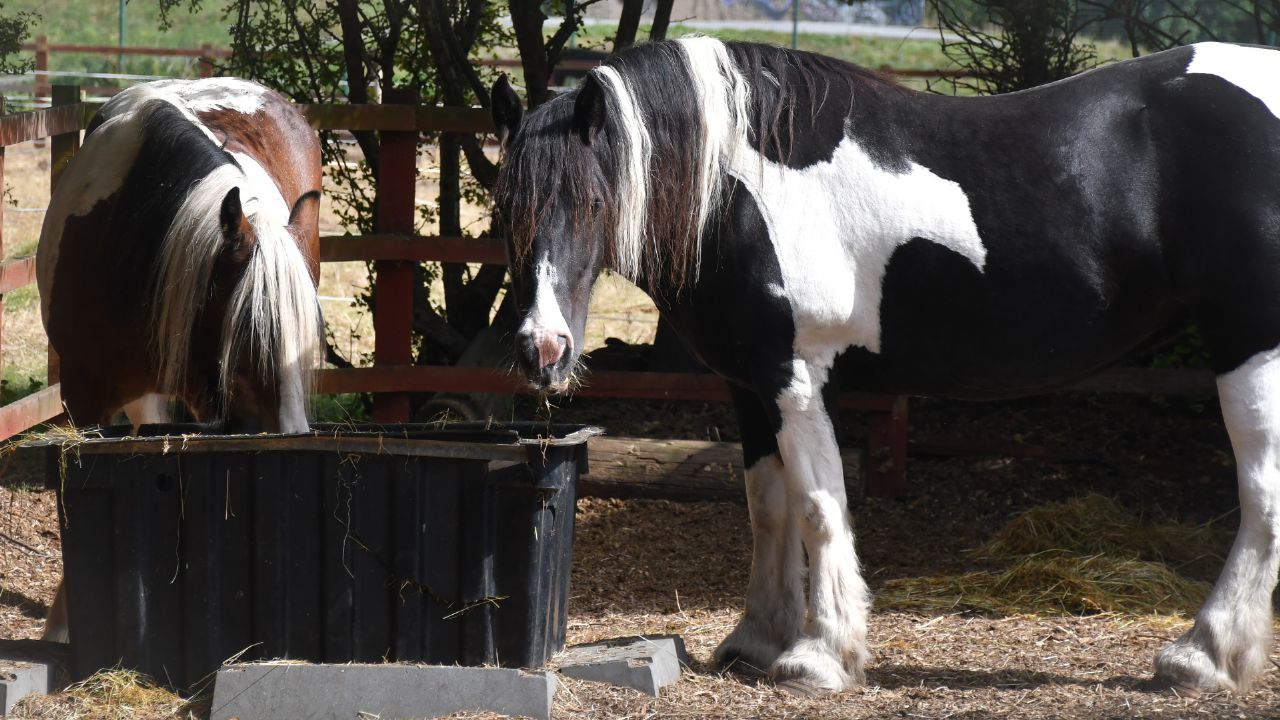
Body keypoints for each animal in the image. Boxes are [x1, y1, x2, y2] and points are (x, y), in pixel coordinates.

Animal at [494, 37, 1280, 691]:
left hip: (1250, 345)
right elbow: (766, 504)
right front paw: (756, 639)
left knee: (1261, 495)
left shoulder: (800, 381)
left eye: (593, 199)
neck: (741, 189)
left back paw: (1203, 656)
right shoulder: (750, 386)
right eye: (507, 210)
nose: (543, 349)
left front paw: (819, 656)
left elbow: (819, 507)